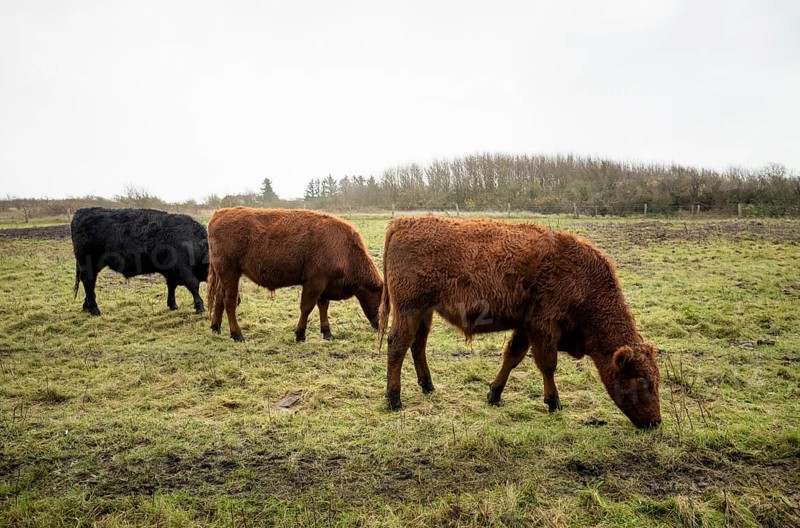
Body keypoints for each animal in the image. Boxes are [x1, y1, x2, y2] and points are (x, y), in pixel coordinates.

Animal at [71, 207, 209, 316]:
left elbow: (171, 286)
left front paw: (173, 305)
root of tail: (81, 212)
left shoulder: (171, 271)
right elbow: (193, 285)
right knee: (88, 282)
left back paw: (87, 307)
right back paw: (94, 310)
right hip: (89, 263)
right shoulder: (183, 269)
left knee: (89, 284)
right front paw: (200, 307)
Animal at [206, 207, 383, 342]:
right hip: (230, 272)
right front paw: (300, 335)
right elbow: (307, 307)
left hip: (224, 276)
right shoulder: (315, 282)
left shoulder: (324, 285)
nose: (381, 327)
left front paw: (327, 333)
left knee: (219, 298)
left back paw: (215, 328)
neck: (345, 249)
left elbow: (323, 306)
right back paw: (237, 335)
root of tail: (220, 213)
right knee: (230, 301)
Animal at [378, 216, 662, 429]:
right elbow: (548, 365)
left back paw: (428, 386)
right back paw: (394, 399)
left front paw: (494, 394)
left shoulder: (526, 327)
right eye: (640, 381)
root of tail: (401, 223)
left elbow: (512, 357)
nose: (656, 422)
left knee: (418, 345)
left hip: (424, 313)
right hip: (409, 310)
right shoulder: (544, 328)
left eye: (657, 380)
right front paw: (554, 402)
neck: (583, 281)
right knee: (398, 346)